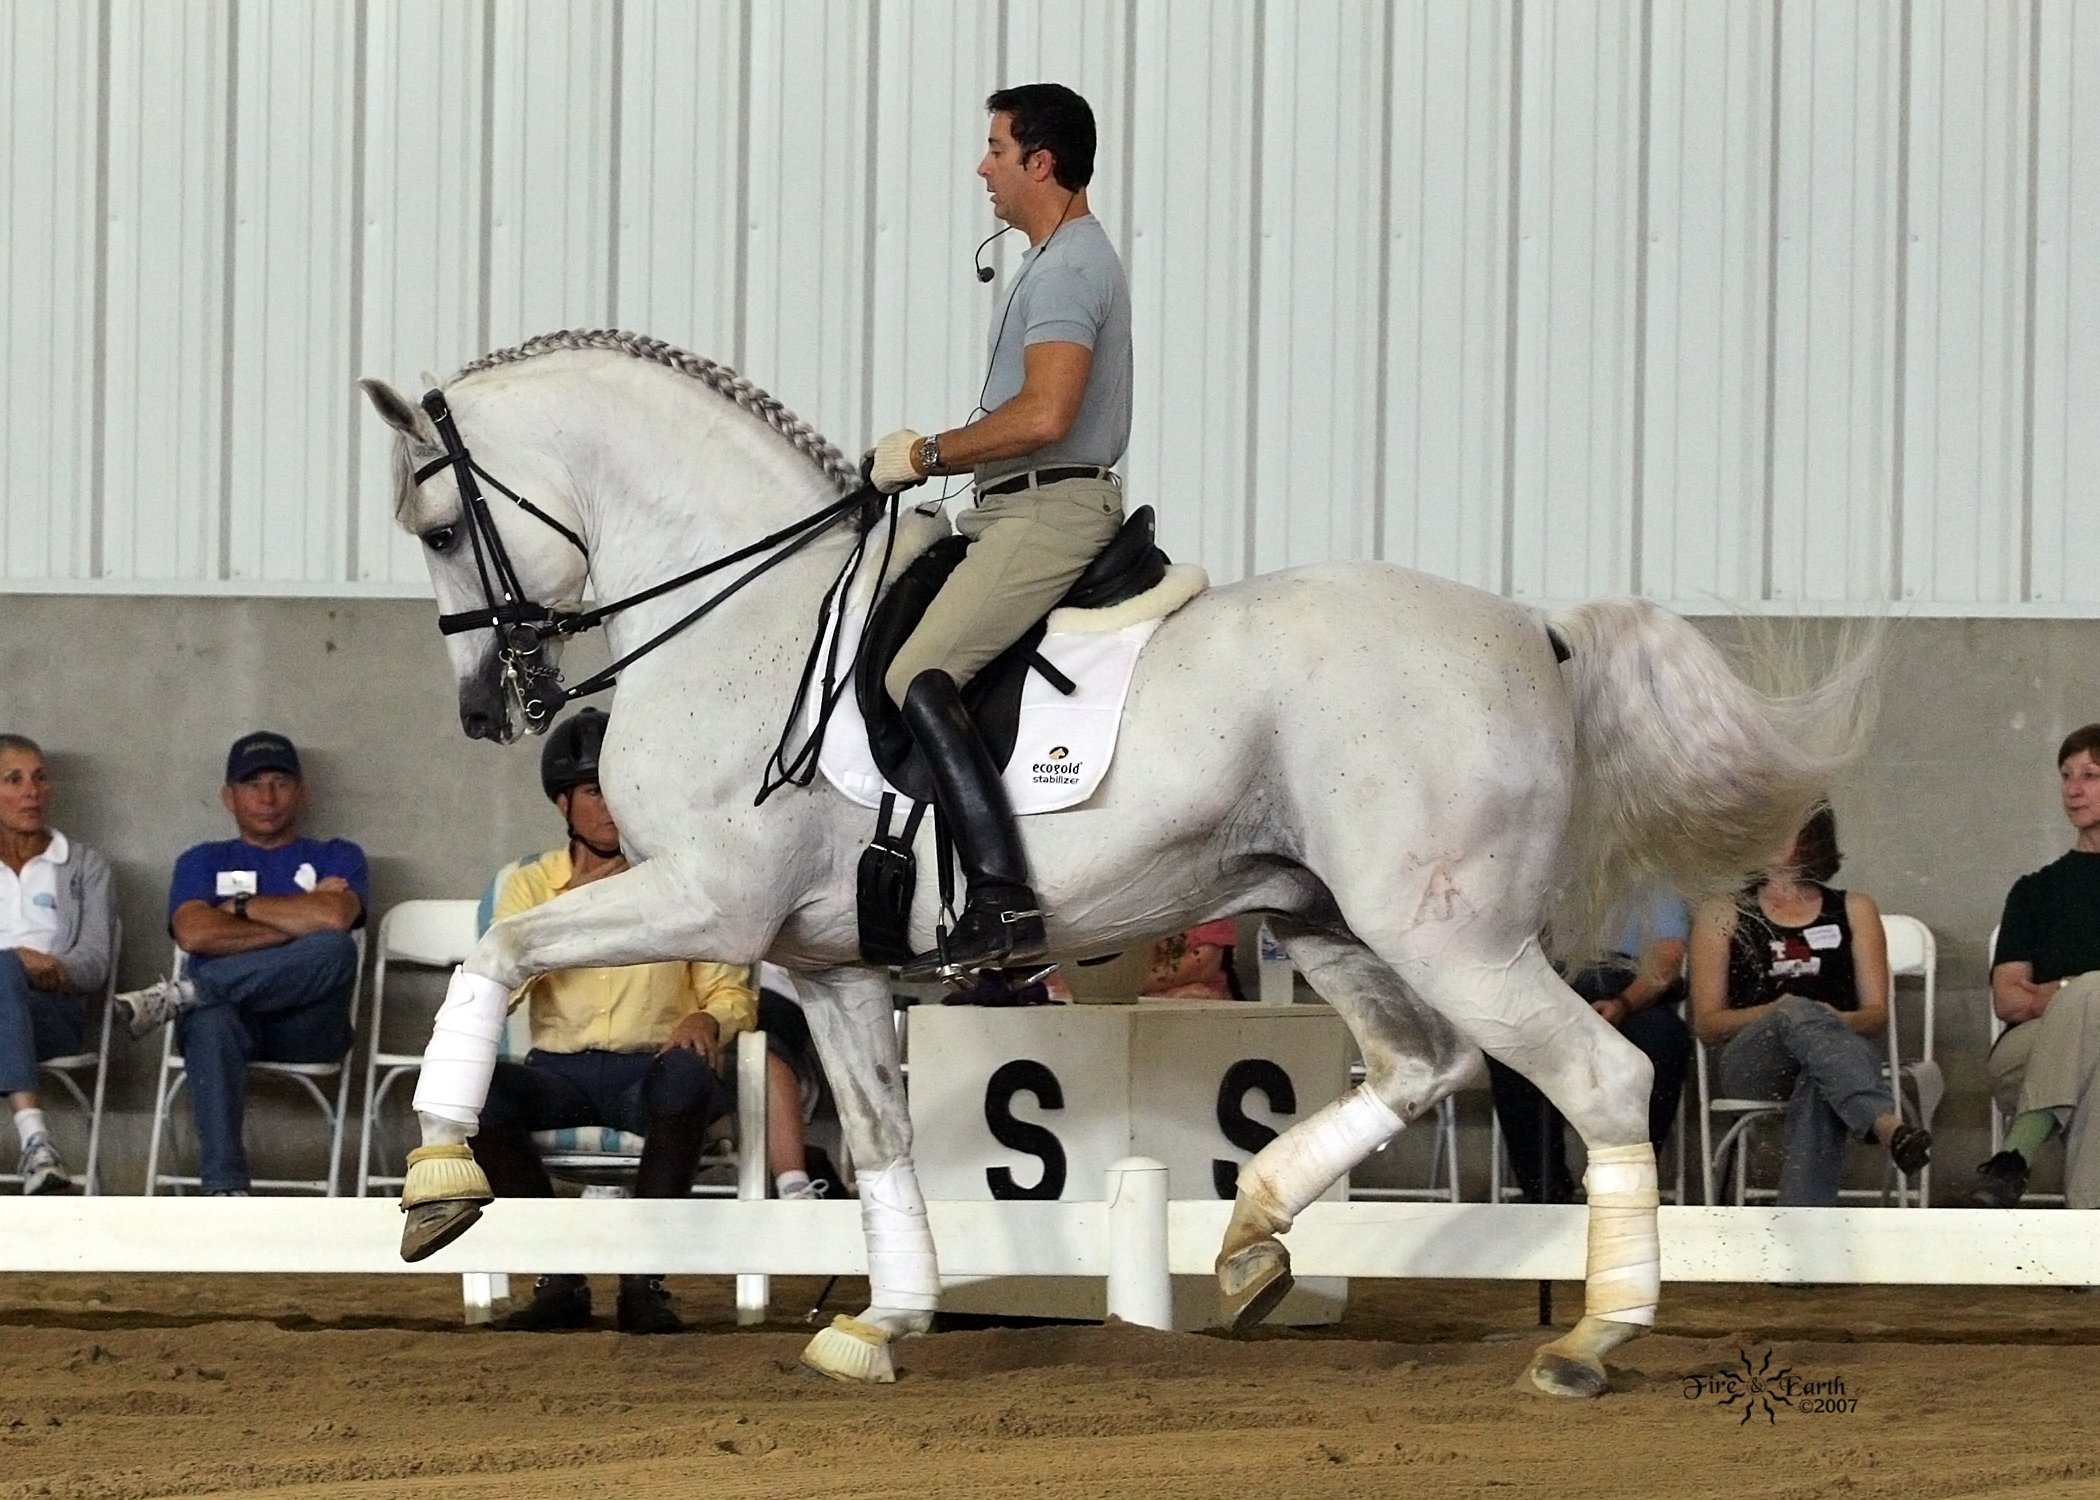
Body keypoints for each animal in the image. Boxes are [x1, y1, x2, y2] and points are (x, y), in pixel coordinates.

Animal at [356, 327, 1873, 1386]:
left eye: (436, 526)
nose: (491, 706)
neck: (752, 616)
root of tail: (1533, 630)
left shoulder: (708, 902)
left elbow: (493, 954)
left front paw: (437, 1192)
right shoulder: (829, 964)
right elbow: (885, 1140)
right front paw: (884, 1322)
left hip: (1449, 931)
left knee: (1600, 1079)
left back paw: (1590, 1339)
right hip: (1329, 918)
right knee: (1419, 1067)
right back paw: (1251, 1242)